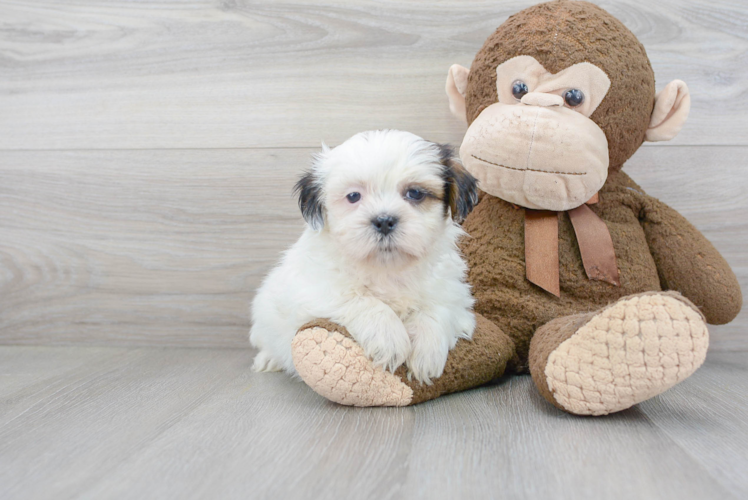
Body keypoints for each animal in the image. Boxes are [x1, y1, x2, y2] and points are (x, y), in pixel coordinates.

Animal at [248, 129, 476, 382]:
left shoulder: (453, 294)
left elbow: (437, 309)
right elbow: (361, 300)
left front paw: (427, 350)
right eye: (353, 196)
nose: (384, 220)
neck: (387, 269)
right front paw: (389, 338)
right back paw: (268, 359)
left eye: (415, 193)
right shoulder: (315, 288)